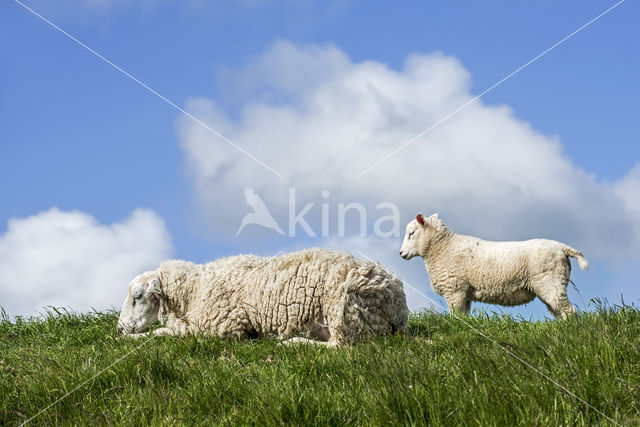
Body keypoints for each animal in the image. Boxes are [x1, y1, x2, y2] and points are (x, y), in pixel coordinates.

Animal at [117, 249, 408, 346]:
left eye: (137, 296)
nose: (119, 328)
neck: (195, 287)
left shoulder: (222, 329)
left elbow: (159, 334)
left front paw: (131, 338)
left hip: (345, 307)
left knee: (342, 346)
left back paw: (292, 343)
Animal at [400, 214, 592, 318]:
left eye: (411, 233)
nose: (401, 254)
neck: (443, 248)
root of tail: (561, 247)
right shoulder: (465, 293)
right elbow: (464, 317)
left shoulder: (455, 290)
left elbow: (456, 317)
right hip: (551, 284)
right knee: (559, 311)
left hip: (550, 281)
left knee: (569, 311)